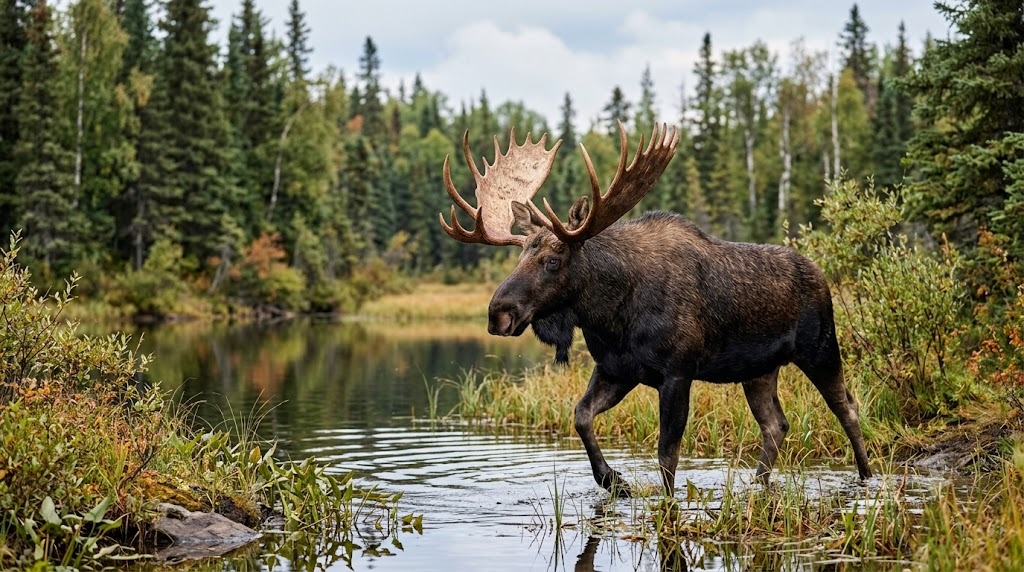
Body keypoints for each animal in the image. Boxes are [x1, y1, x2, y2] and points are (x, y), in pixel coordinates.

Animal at [438, 122, 872, 496]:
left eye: (553, 260)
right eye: (521, 256)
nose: (498, 313)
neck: (609, 314)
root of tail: (821, 273)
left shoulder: (677, 373)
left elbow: (667, 453)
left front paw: (661, 501)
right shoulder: (616, 369)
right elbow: (581, 415)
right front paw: (614, 481)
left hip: (821, 347)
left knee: (847, 407)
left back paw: (867, 477)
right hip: (759, 370)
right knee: (776, 425)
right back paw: (759, 483)